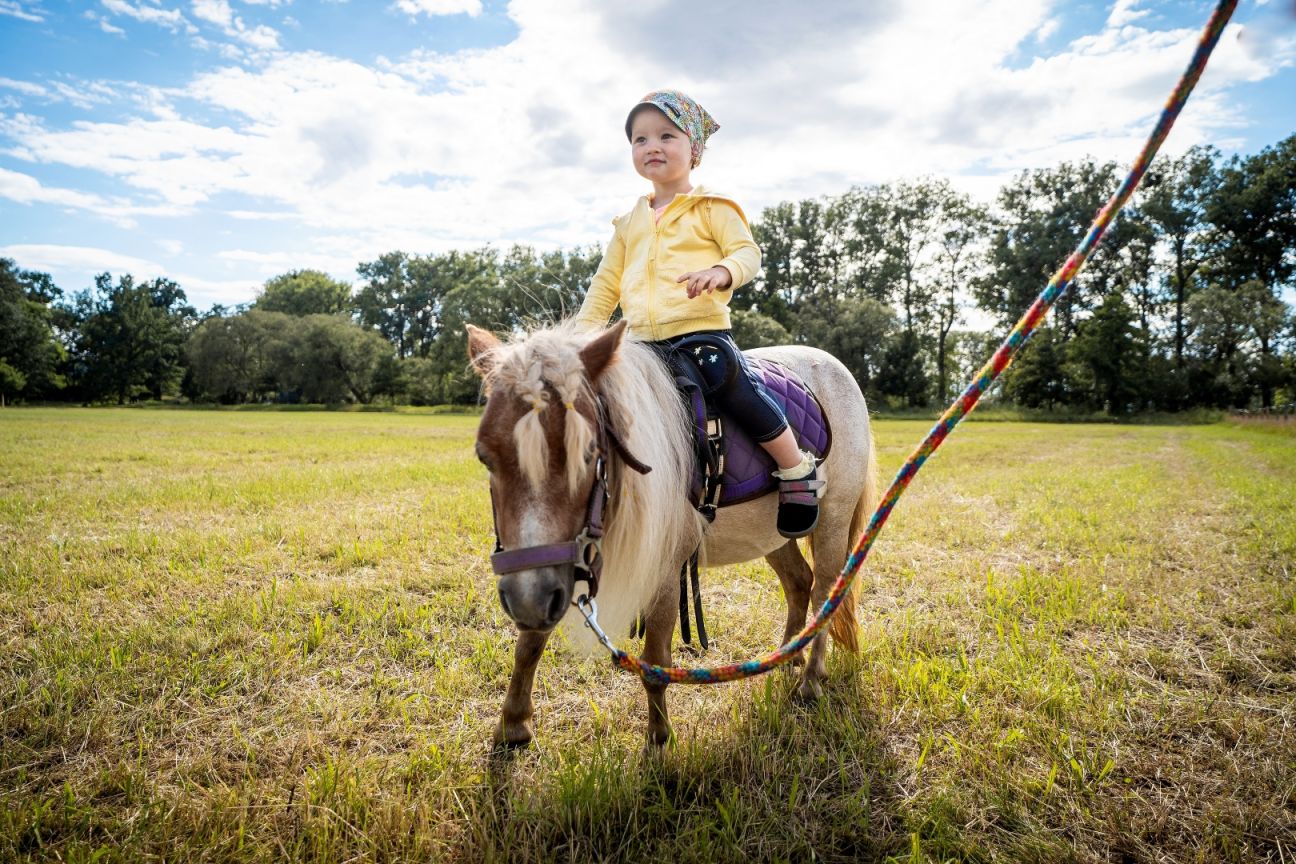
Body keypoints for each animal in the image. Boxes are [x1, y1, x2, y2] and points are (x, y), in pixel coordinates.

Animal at [466, 318, 879, 747]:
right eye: (485, 456)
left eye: (588, 453)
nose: (526, 599)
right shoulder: (557, 566)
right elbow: (529, 644)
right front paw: (512, 725)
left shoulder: (663, 570)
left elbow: (655, 662)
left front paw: (659, 740)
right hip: (773, 534)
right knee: (799, 582)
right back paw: (789, 655)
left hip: (834, 517)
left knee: (825, 592)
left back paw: (811, 680)